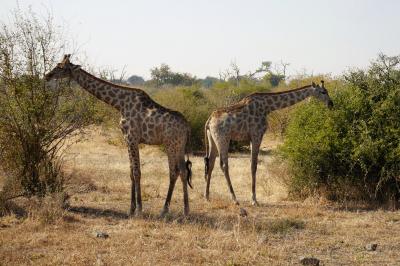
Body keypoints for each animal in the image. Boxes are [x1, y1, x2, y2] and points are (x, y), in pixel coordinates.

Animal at [45, 54, 192, 216]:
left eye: (60, 67)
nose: (47, 76)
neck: (119, 104)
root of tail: (187, 126)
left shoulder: (132, 138)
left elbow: (137, 172)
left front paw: (139, 210)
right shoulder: (127, 139)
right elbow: (131, 172)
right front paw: (131, 209)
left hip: (170, 145)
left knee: (174, 171)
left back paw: (166, 210)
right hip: (179, 146)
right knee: (183, 171)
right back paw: (185, 210)